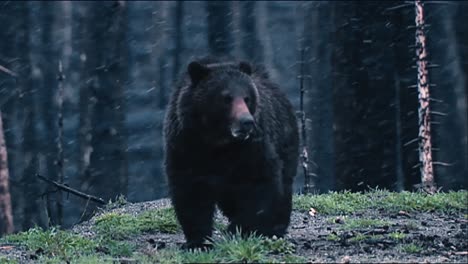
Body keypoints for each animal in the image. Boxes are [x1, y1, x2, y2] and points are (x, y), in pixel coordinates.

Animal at [163, 56, 298, 249]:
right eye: (226, 98)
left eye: (247, 98)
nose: (246, 121)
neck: (219, 142)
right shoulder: (186, 145)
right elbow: (190, 191)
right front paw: (198, 242)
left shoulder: (253, 147)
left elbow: (261, 182)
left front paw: (238, 228)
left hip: (286, 140)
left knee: (283, 186)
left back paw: (274, 228)